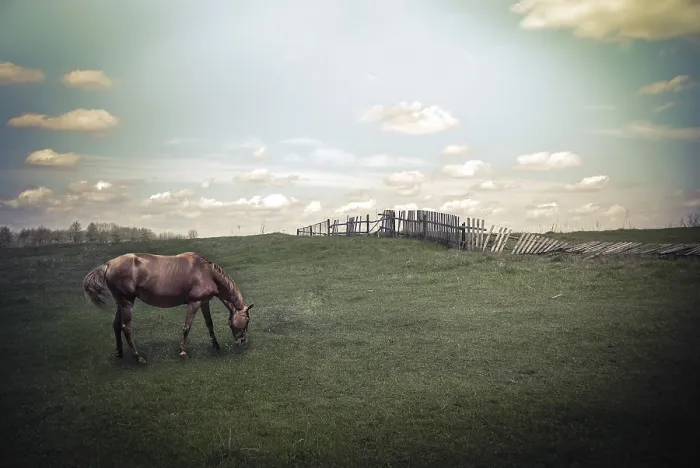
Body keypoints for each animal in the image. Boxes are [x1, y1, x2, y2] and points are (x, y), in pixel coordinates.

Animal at [82, 251, 254, 364]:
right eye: (247, 320)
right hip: (127, 303)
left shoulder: (204, 302)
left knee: (116, 325)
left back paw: (119, 352)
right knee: (126, 328)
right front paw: (183, 351)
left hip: (120, 303)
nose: (243, 341)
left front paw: (216, 346)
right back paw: (138, 357)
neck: (206, 272)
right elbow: (186, 327)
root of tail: (108, 264)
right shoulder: (194, 303)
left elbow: (209, 324)